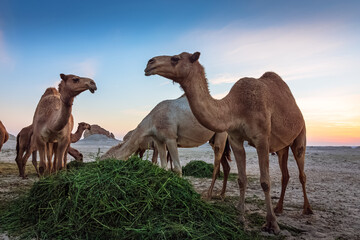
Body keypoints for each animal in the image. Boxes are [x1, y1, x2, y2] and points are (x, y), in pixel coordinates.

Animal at [101, 95, 231, 199]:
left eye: (104, 161)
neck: (153, 120)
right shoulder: (158, 140)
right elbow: (163, 166)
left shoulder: (170, 138)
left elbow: (177, 168)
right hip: (214, 140)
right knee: (225, 166)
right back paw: (221, 194)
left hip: (221, 134)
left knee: (216, 165)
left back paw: (209, 195)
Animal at [143, 51, 312, 233]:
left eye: (176, 58)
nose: (149, 63)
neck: (236, 107)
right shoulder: (235, 139)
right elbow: (241, 179)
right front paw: (240, 218)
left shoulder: (262, 139)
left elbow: (265, 181)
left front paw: (272, 224)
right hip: (282, 147)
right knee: (285, 174)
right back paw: (279, 208)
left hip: (300, 134)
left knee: (302, 172)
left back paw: (307, 209)